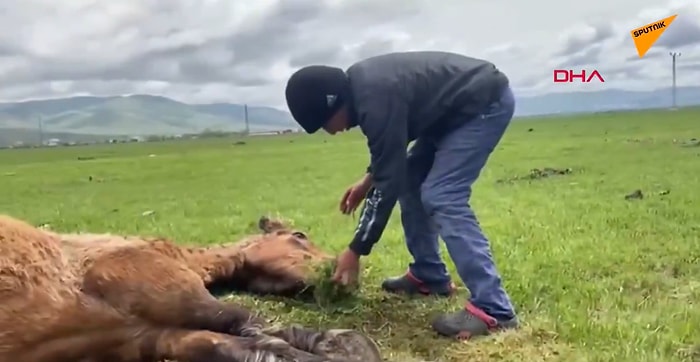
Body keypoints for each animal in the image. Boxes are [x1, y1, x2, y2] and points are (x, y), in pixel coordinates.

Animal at [0, 215, 382, 362]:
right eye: (299, 235)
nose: (347, 276)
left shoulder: (146, 336)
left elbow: (242, 344)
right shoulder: (154, 280)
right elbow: (245, 319)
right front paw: (339, 344)